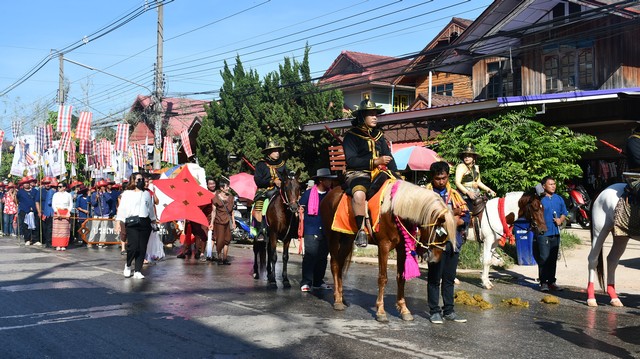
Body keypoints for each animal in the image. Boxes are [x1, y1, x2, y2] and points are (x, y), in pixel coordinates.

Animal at [322, 180, 458, 324]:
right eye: (439, 234)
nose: (435, 259)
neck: (395, 210)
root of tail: (329, 194)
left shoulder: (402, 248)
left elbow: (401, 278)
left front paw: (404, 310)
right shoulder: (384, 246)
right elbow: (383, 278)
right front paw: (381, 311)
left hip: (347, 240)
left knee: (340, 264)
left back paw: (342, 298)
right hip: (333, 237)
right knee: (335, 264)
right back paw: (337, 300)